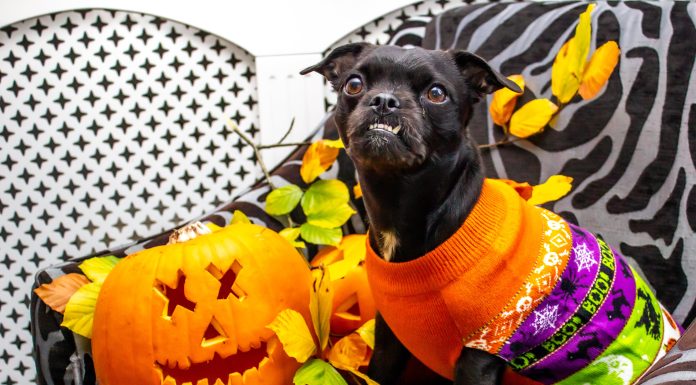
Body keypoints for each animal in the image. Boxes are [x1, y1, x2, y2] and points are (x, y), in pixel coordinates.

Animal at [302, 43, 520, 382]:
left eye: (436, 93)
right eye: (354, 84)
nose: (384, 100)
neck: (398, 201)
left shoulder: (481, 353)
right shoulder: (388, 338)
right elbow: (378, 373)